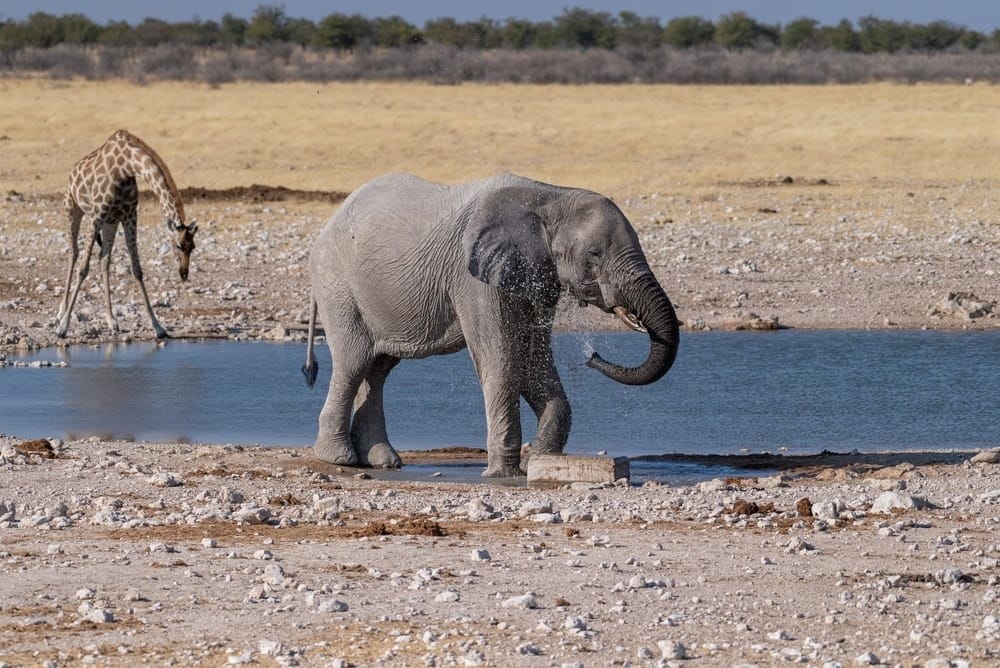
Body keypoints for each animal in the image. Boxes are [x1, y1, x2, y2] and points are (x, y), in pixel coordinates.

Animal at [56, 129, 197, 339]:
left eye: (193, 247)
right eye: (178, 245)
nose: (184, 273)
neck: (126, 167)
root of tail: (73, 170)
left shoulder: (129, 215)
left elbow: (137, 269)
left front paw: (158, 327)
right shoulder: (95, 216)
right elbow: (83, 268)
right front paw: (63, 327)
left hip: (110, 222)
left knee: (104, 258)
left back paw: (111, 320)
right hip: (73, 209)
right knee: (74, 253)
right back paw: (61, 312)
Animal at [302, 172, 680, 477]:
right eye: (594, 255)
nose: (591, 356)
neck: (551, 196)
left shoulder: (534, 273)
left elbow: (533, 360)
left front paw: (543, 458)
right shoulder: (473, 279)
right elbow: (502, 357)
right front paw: (503, 473)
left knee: (378, 368)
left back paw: (382, 461)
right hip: (338, 287)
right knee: (355, 361)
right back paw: (339, 459)